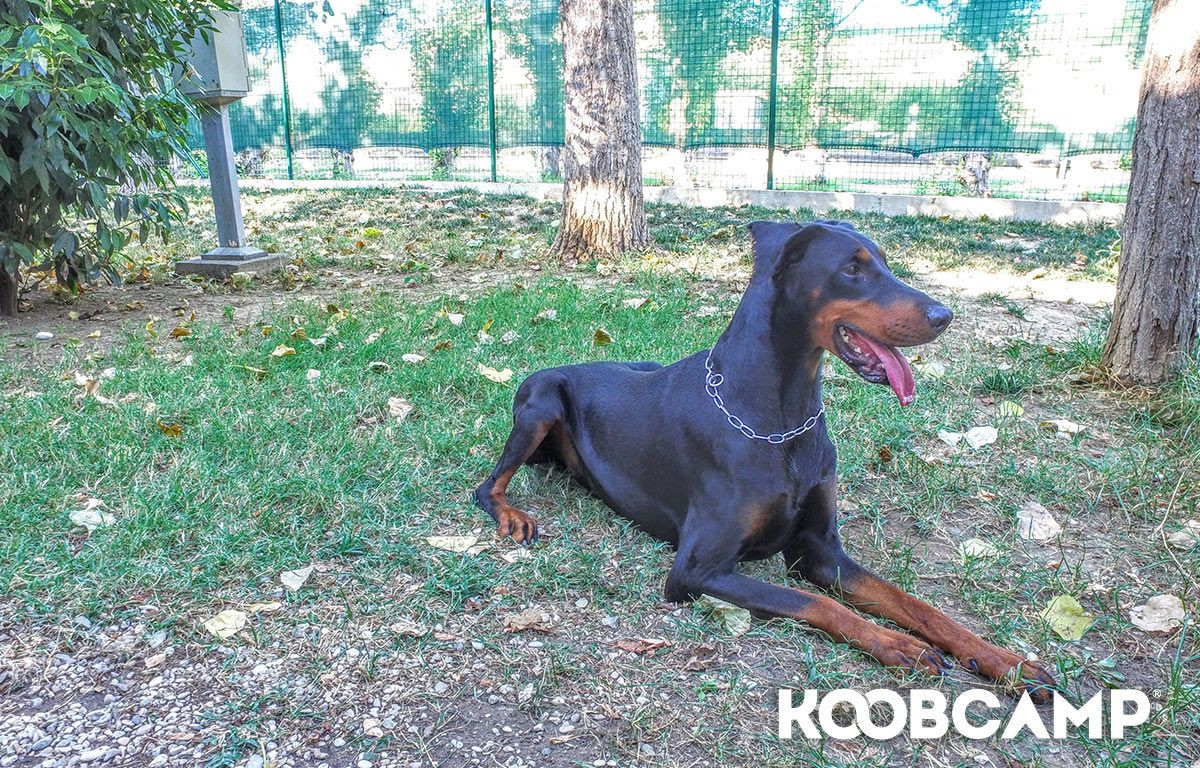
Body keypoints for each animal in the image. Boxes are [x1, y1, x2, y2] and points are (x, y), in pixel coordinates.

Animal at [475, 220, 1056, 700]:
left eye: (886, 262)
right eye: (852, 269)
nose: (944, 315)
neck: (781, 420)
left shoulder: (820, 550)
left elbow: (915, 604)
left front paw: (1007, 661)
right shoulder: (697, 569)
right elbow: (816, 603)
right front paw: (898, 645)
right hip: (541, 400)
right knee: (487, 487)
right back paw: (514, 517)